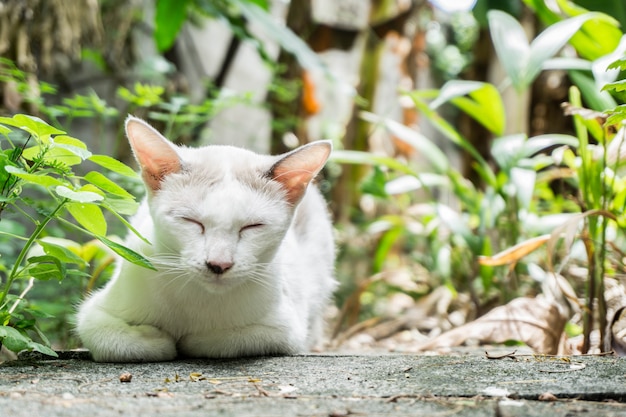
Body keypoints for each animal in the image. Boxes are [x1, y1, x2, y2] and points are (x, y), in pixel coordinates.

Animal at [75, 116, 334, 360]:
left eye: (253, 226)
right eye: (191, 221)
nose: (219, 264)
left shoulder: (286, 329)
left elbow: (220, 340)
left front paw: (188, 340)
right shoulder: (94, 313)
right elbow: (109, 339)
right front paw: (153, 338)